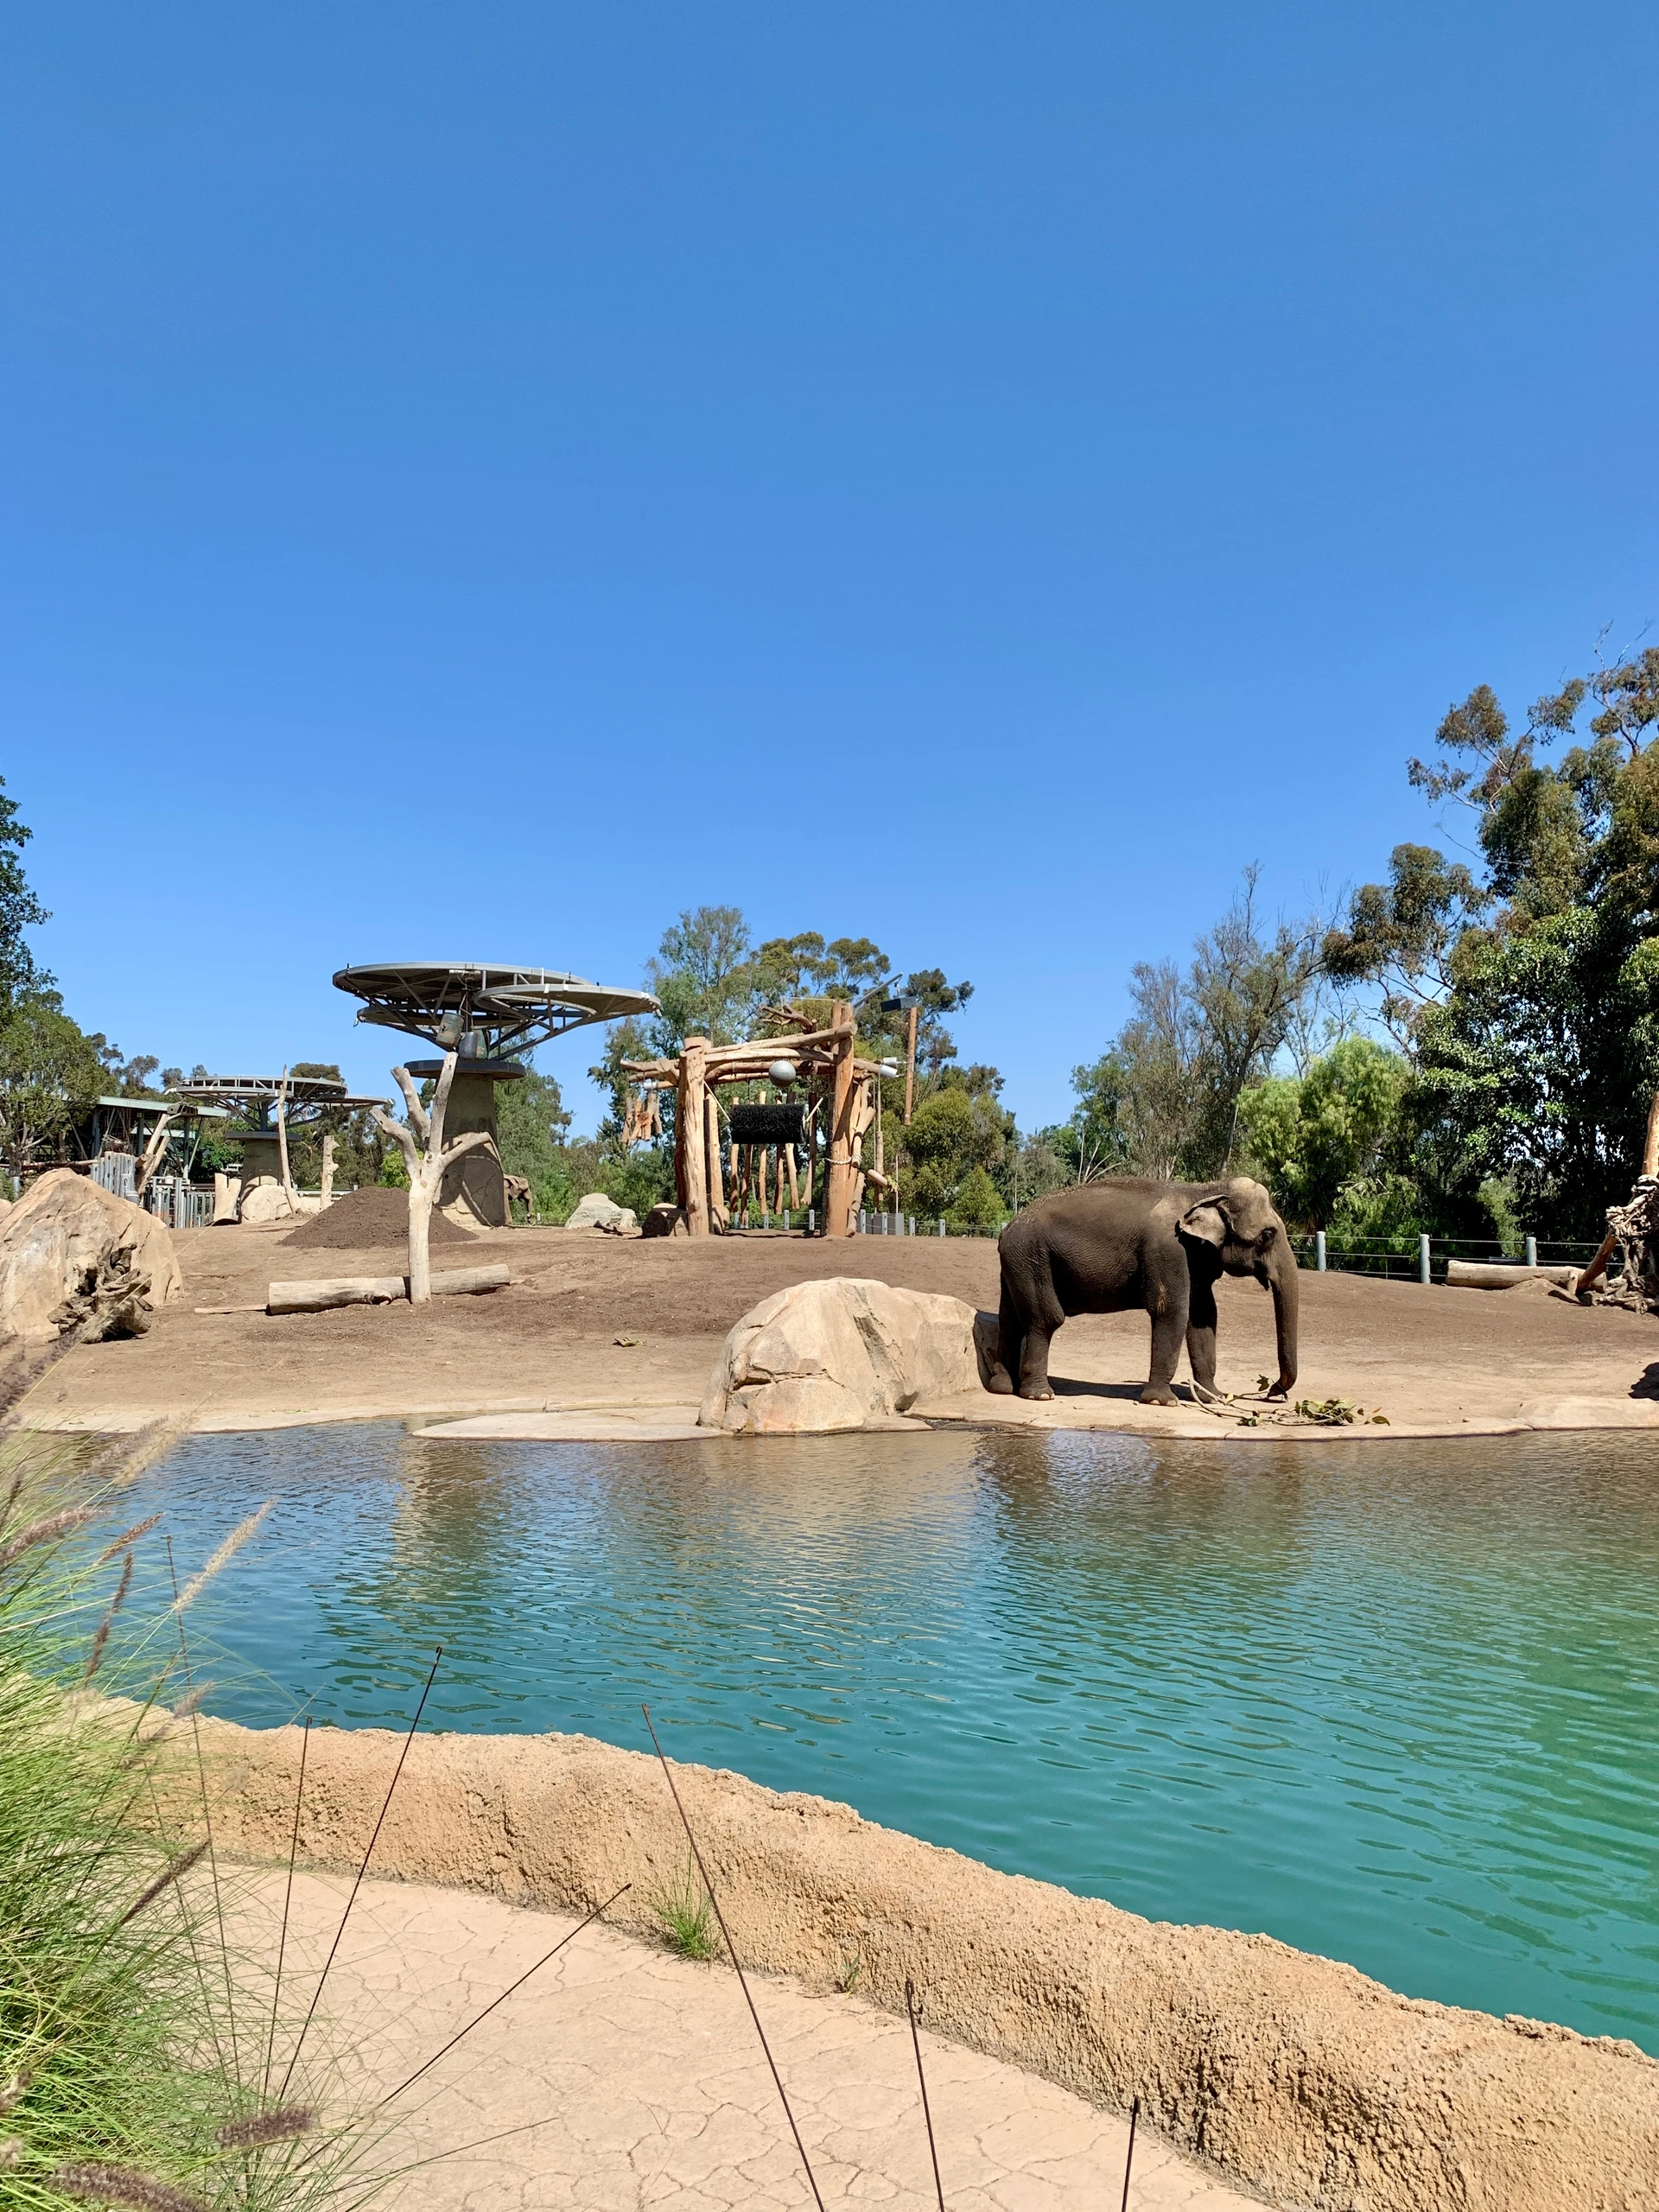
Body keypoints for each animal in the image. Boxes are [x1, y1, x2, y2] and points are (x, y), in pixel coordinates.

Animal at [987, 1176, 1299, 1405]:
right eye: (1268, 1235)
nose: (1272, 1391)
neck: (1204, 1190)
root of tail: (1007, 1228)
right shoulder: (1169, 1250)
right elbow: (1172, 1311)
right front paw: (1163, 1401)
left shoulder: (1195, 1259)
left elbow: (1203, 1317)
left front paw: (1216, 1397)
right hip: (1031, 1257)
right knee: (1045, 1319)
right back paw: (1040, 1394)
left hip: (1016, 1263)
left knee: (1010, 1319)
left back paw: (1002, 1388)